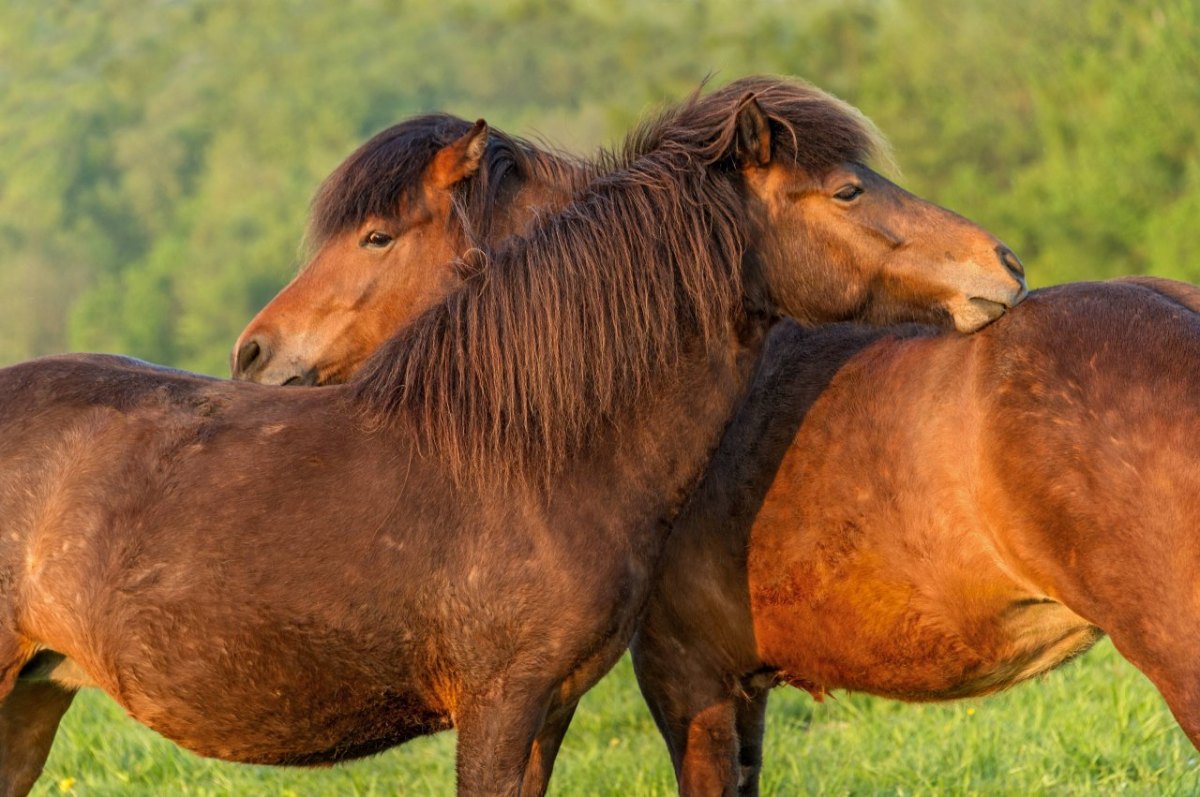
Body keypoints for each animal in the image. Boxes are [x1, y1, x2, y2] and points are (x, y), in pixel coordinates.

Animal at [0, 76, 1022, 797]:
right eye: (848, 190)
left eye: (377, 237)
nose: (1002, 264)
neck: (537, 456)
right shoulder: (498, 709)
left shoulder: (549, 710)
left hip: (31, 699)